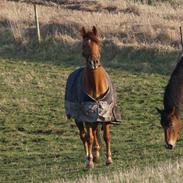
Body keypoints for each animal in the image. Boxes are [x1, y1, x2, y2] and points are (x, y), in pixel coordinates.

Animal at [65, 26, 121, 168]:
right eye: (84, 45)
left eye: (98, 43)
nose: (94, 62)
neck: (96, 85)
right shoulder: (86, 115)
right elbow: (89, 137)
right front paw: (89, 161)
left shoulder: (106, 114)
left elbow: (106, 136)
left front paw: (109, 159)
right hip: (79, 119)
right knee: (84, 135)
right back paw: (89, 156)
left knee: (95, 133)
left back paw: (96, 153)